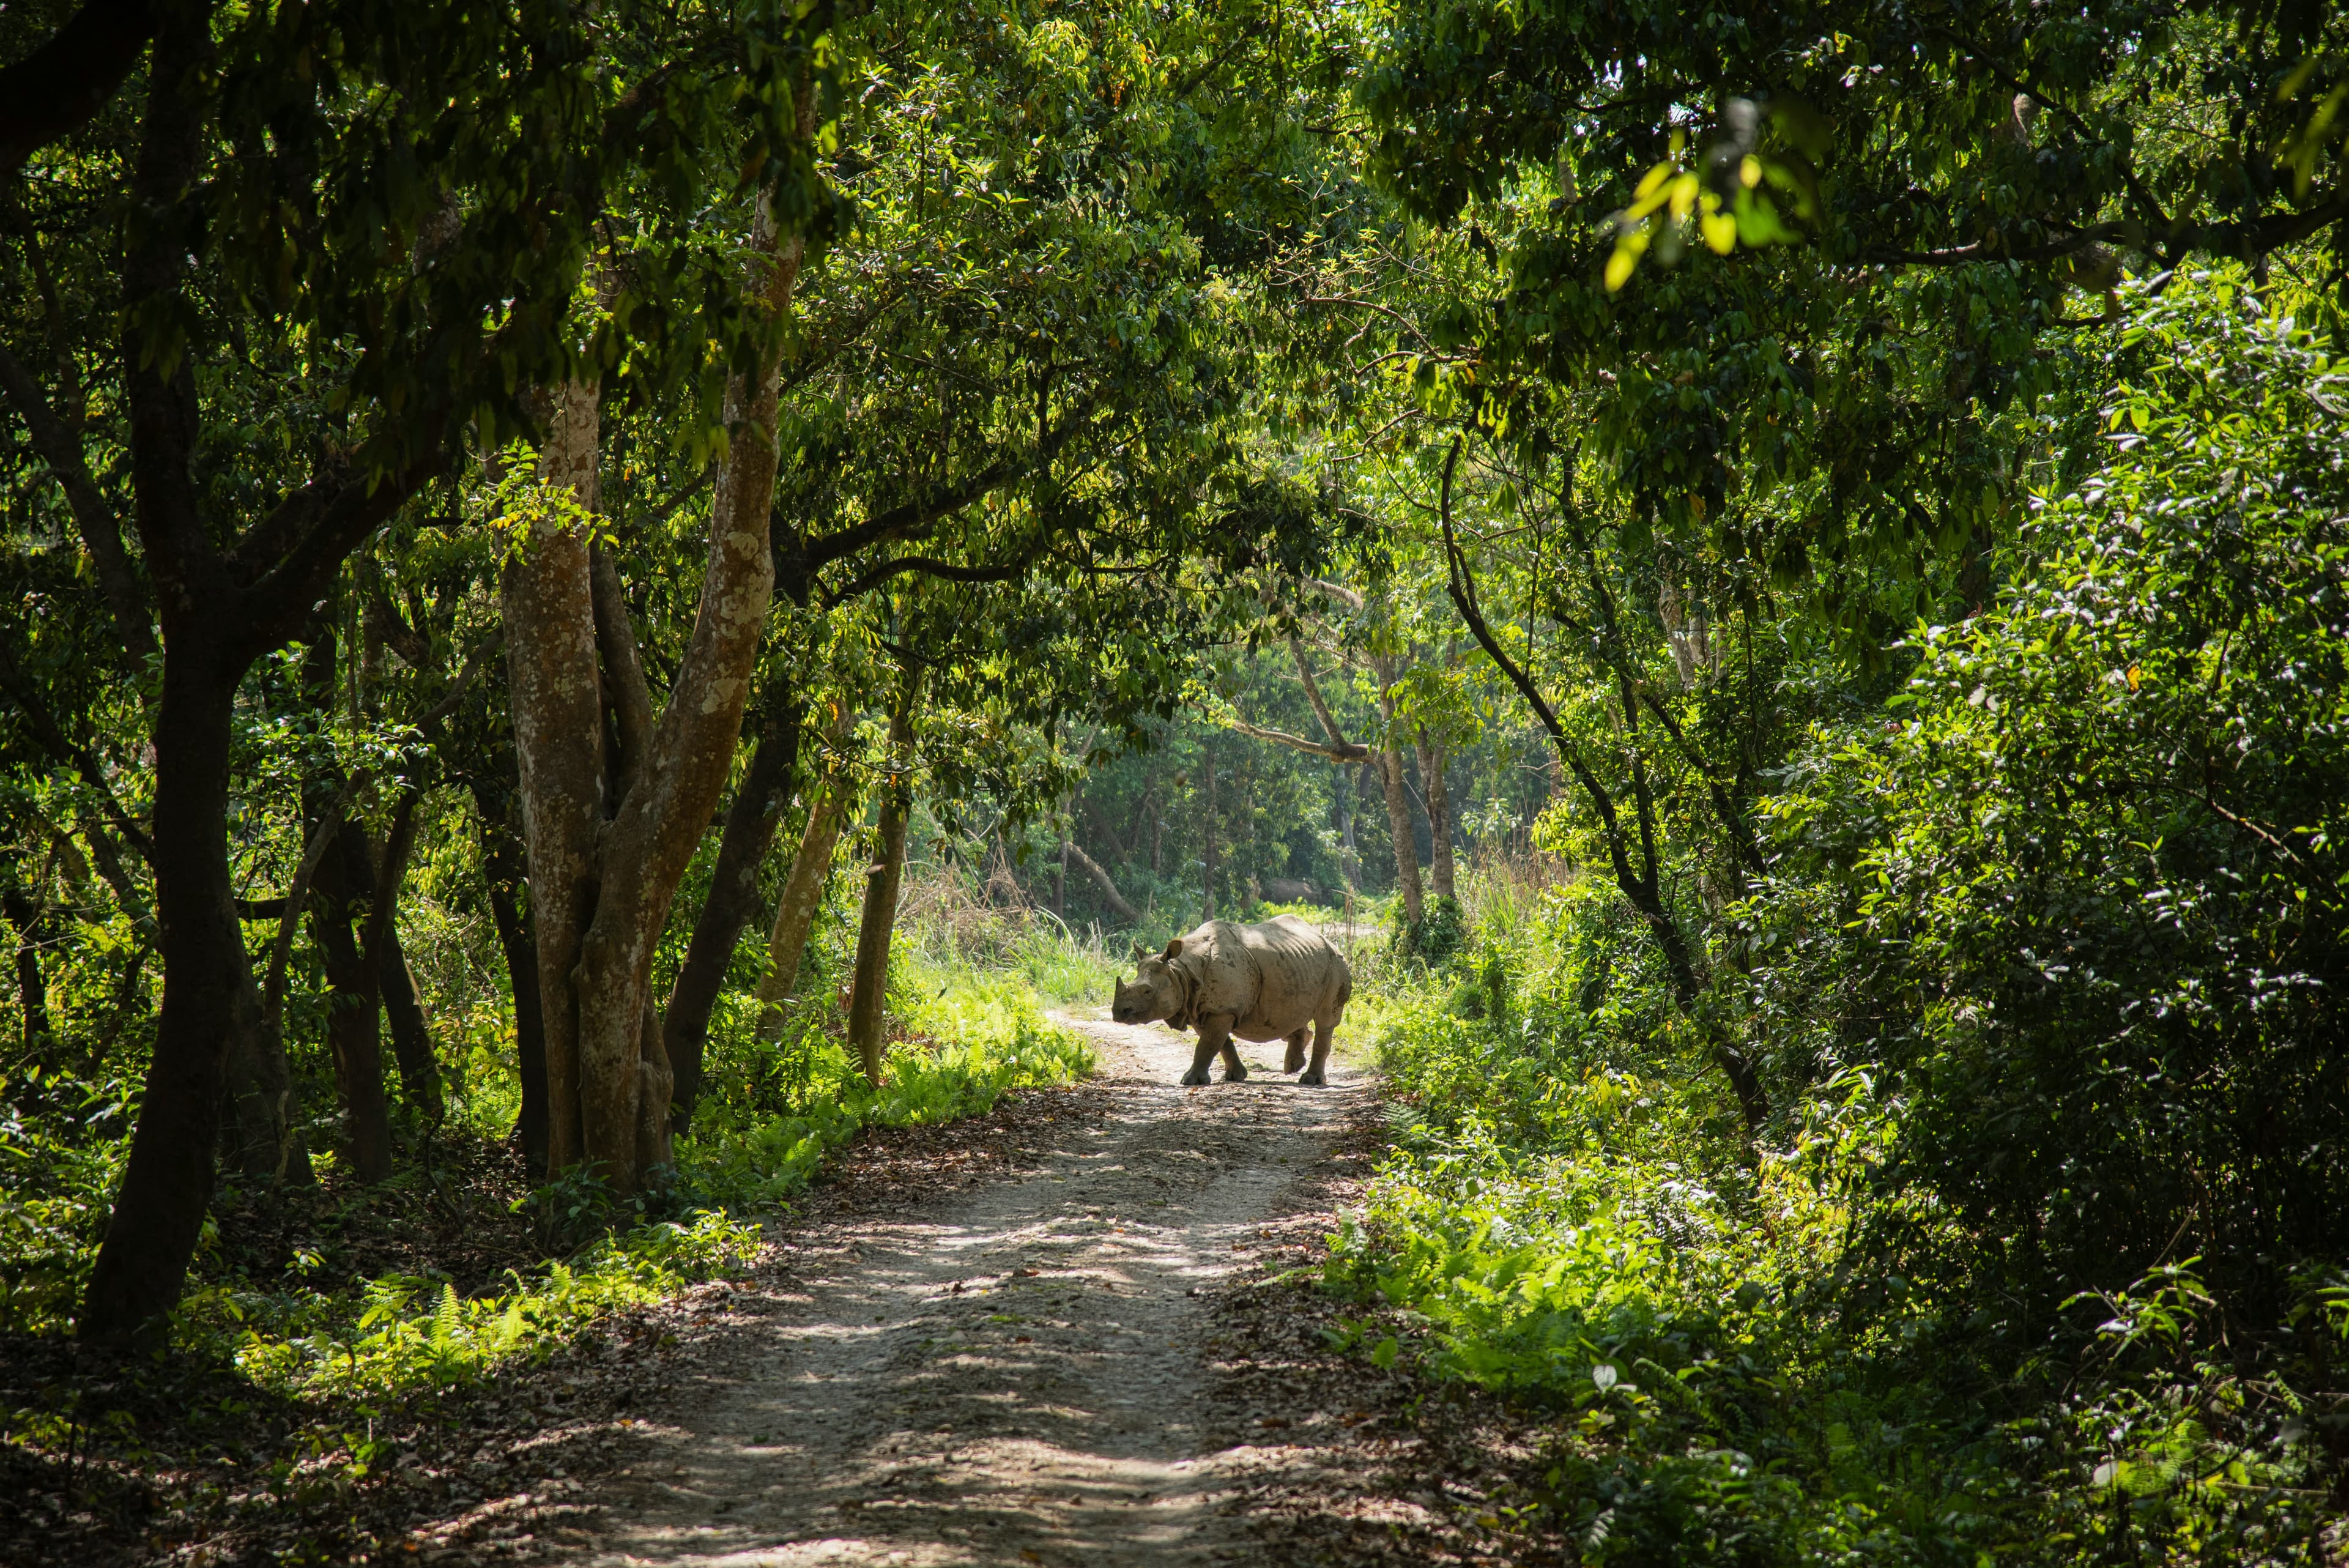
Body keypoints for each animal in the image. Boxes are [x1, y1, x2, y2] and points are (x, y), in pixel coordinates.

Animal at [1111, 914, 1352, 1087]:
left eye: (1147, 992)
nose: (1117, 1013)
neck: (1181, 971)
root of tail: (1327, 940)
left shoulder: (1222, 1008)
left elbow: (1208, 1044)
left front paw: (1190, 1081)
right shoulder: (1201, 1007)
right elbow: (1220, 1043)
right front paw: (1235, 1076)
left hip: (1336, 963)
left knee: (1326, 1021)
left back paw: (1311, 1080)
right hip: (1296, 964)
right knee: (1288, 1015)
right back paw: (1293, 1067)